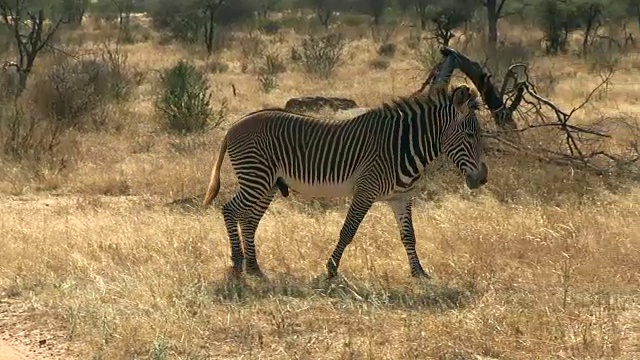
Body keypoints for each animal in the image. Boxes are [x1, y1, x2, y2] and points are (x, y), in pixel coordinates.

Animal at [202, 83, 488, 278]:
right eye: (470, 135)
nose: (483, 179)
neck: (402, 146)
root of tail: (234, 125)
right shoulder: (366, 190)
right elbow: (348, 230)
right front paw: (331, 269)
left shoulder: (401, 197)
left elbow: (409, 235)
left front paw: (418, 272)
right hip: (256, 178)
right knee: (230, 210)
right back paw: (237, 262)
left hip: (267, 184)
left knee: (249, 220)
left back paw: (254, 267)